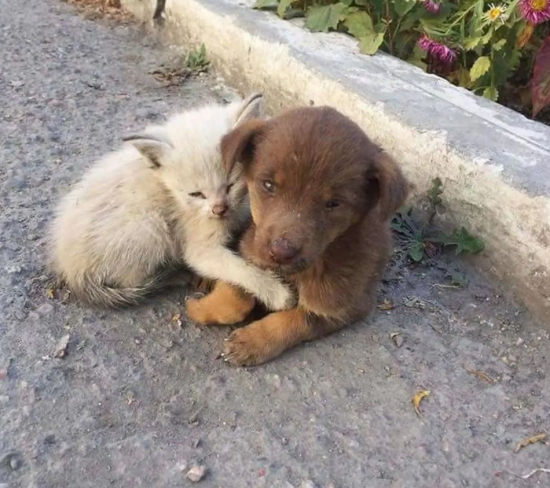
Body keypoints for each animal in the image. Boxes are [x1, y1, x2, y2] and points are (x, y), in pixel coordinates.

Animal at [49, 93, 296, 310]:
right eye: (196, 194)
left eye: (230, 185)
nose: (219, 209)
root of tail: (72, 269)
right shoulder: (199, 245)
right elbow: (238, 268)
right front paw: (277, 292)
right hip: (150, 228)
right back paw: (171, 276)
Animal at [187, 107, 410, 366]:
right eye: (268, 185)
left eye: (334, 203)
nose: (281, 253)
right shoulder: (250, 248)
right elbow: (237, 292)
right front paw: (200, 308)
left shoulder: (344, 305)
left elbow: (295, 320)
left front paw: (252, 342)